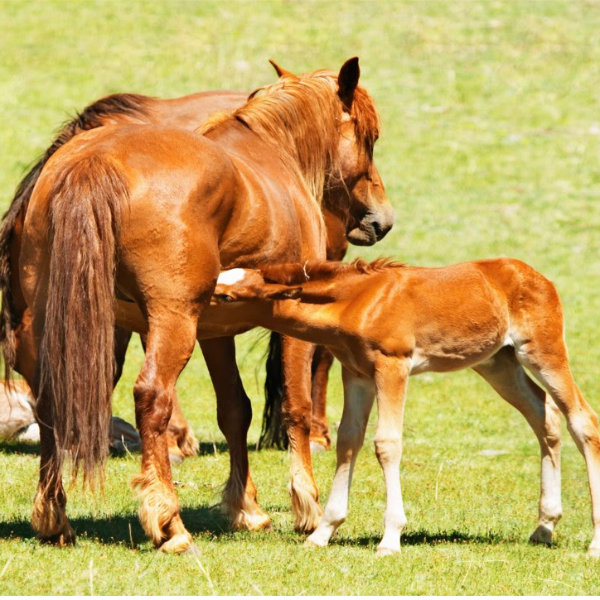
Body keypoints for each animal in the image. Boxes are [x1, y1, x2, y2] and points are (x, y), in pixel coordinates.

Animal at [211, 255, 600, 556]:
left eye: (227, 296)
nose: (199, 310)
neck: (358, 301)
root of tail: (538, 277)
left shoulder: (392, 365)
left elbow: (386, 443)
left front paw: (390, 538)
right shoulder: (357, 374)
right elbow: (348, 442)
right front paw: (322, 533)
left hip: (543, 351)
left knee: (582, 420)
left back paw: (593, 542)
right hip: (497, 363)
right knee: (544, 416)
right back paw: (544, 527)